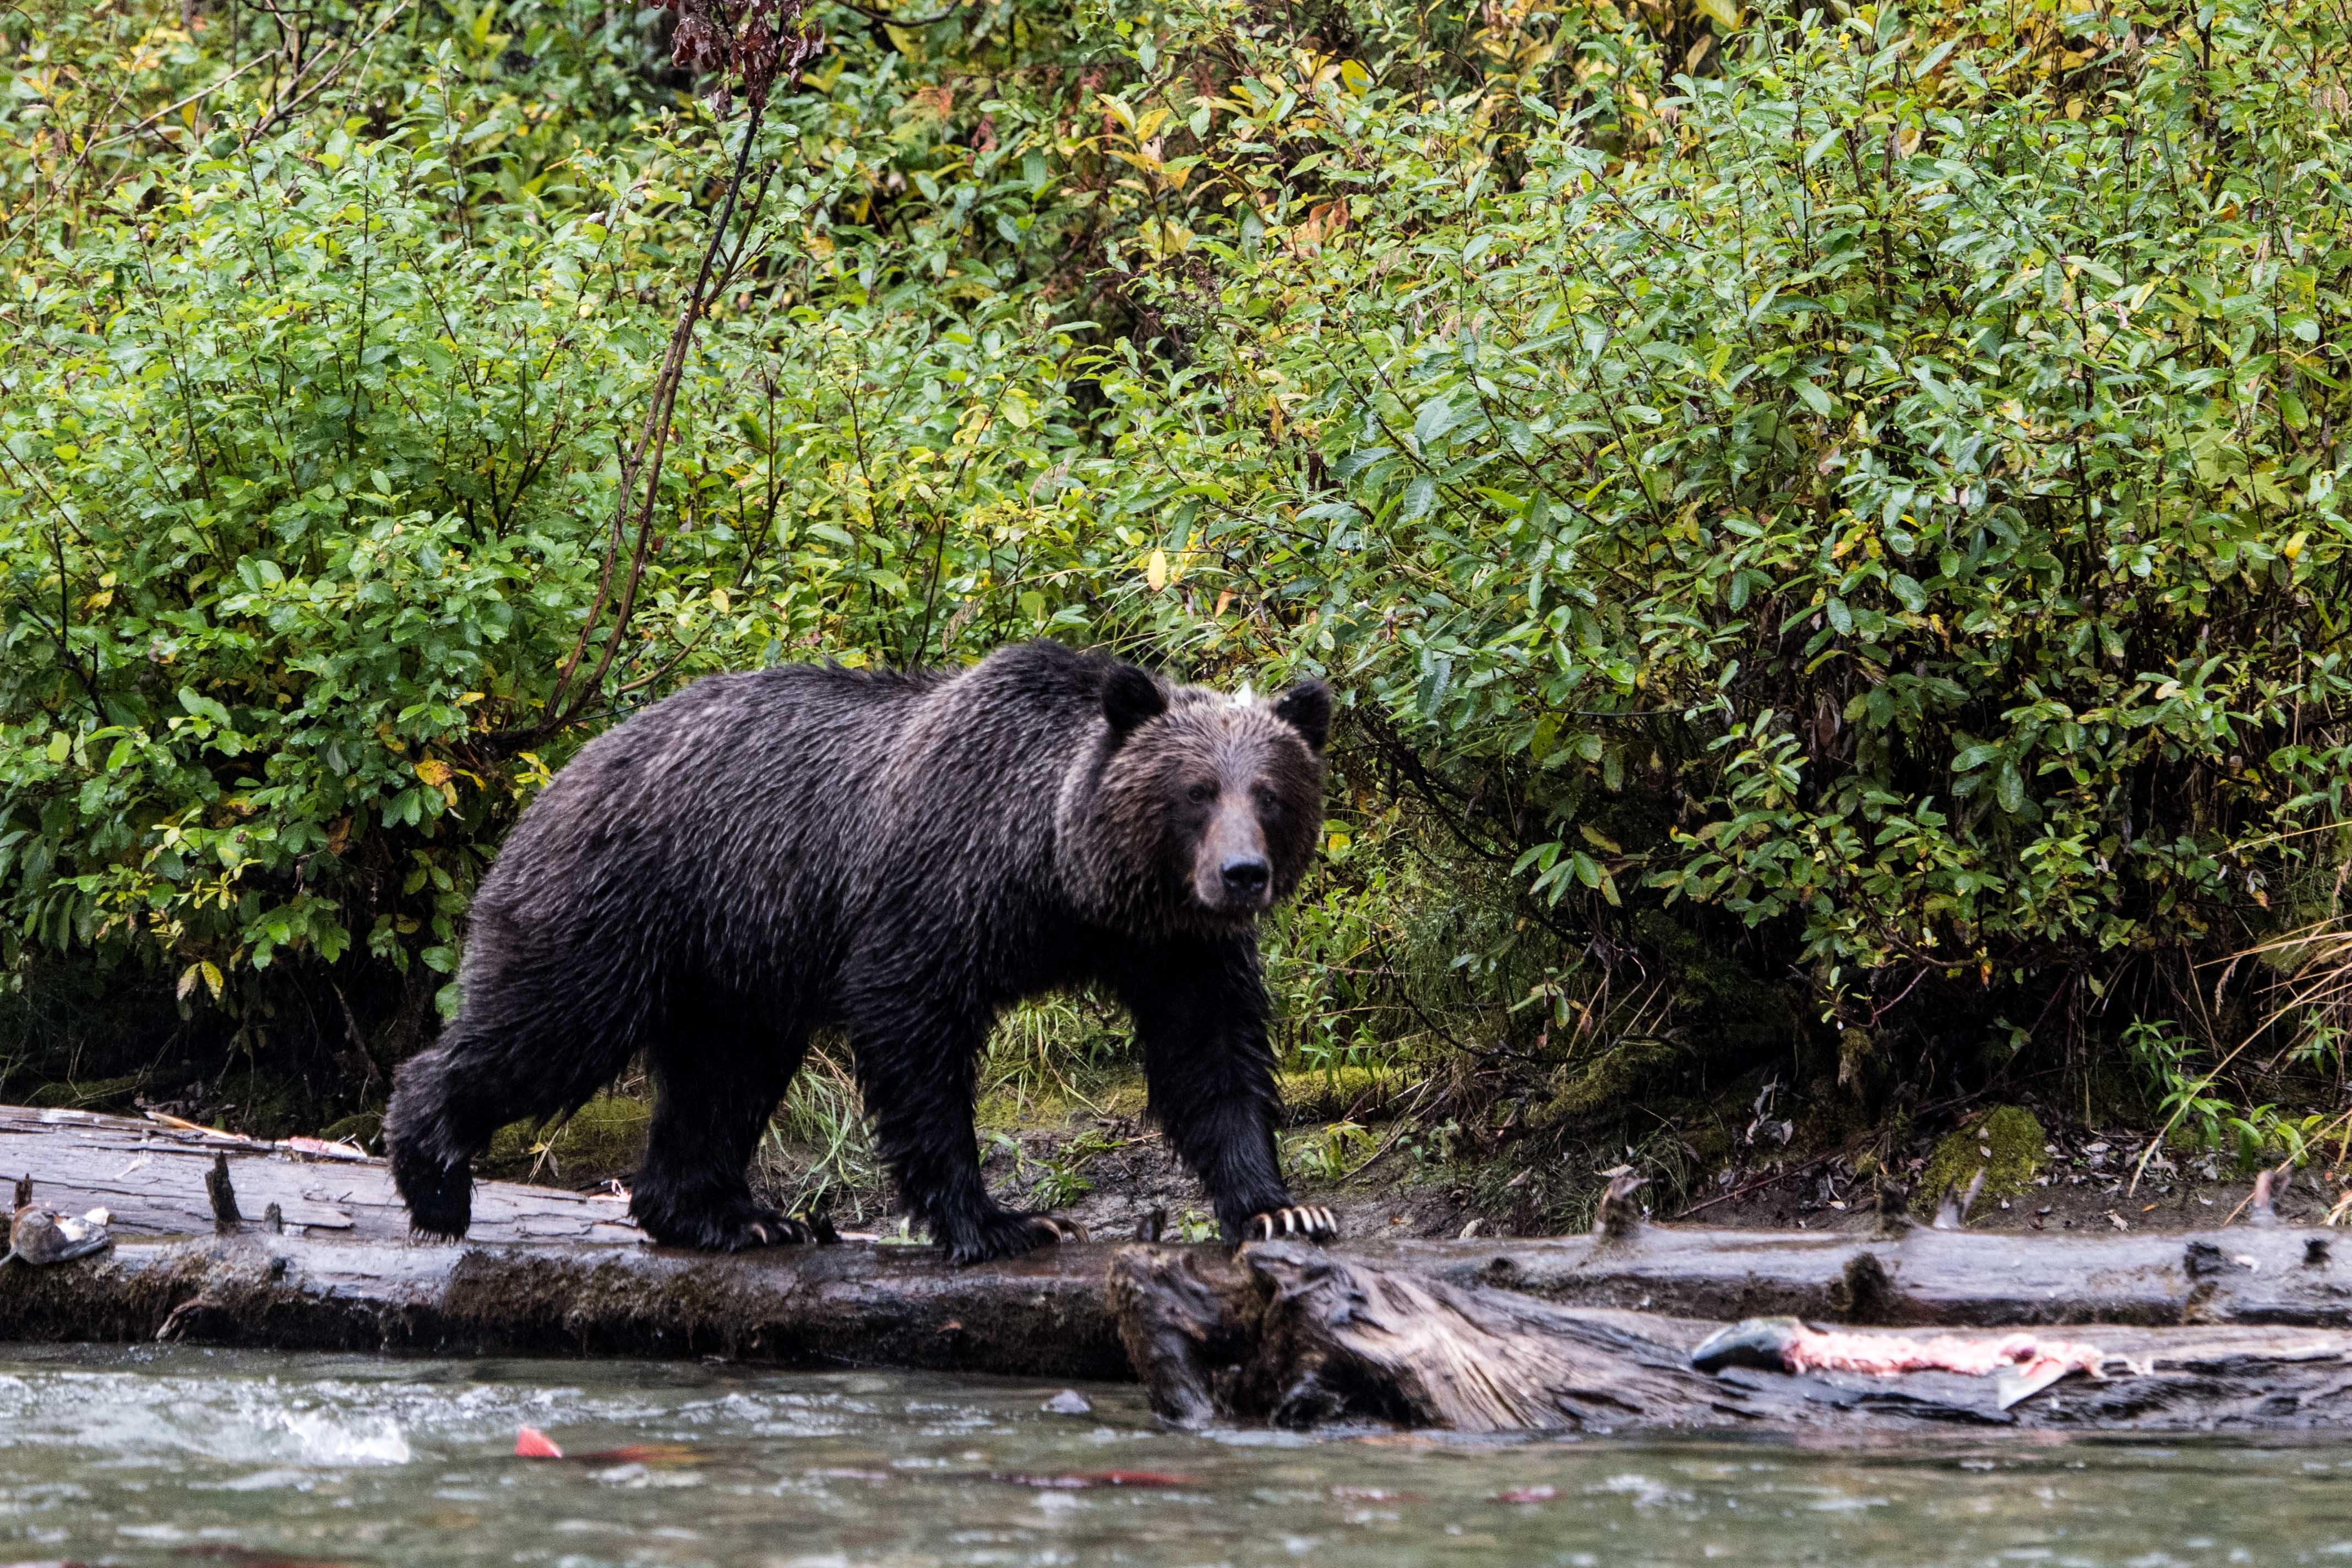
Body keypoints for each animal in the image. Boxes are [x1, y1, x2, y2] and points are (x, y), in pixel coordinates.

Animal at [395, 639, 1336, 1260]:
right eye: (1197, 790)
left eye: (1270, 792)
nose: (1242, 875)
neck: (1063, 875)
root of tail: (562, 769)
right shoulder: (940, 886)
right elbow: (915, 1032)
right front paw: (1001, 1221)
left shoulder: (1174, 948)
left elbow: (1210, 1057)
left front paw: (1280, 1210)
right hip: (621, 903)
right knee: (549, 1027)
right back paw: (434, 1178)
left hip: (732, 965)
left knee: (721, 1076)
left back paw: (732, 1216)